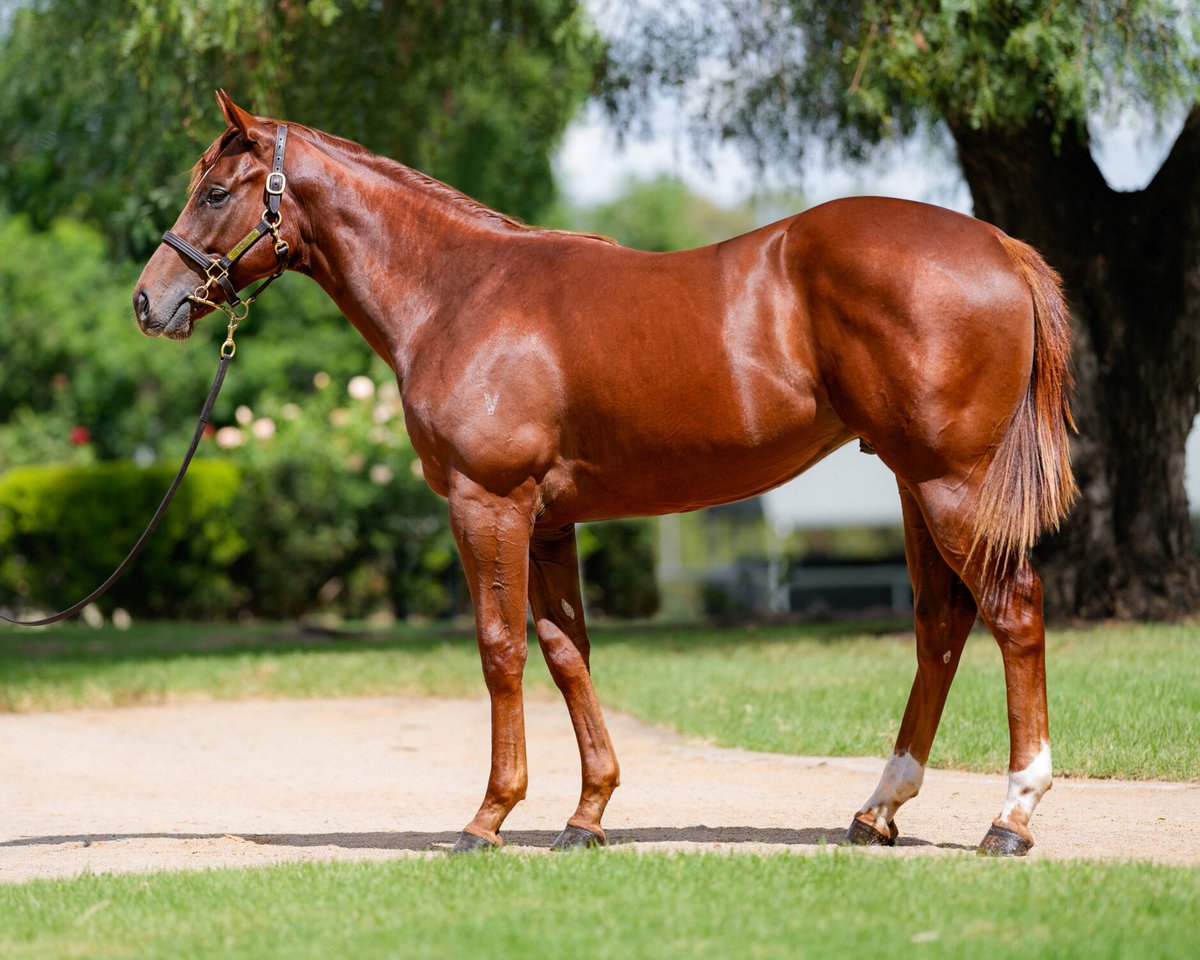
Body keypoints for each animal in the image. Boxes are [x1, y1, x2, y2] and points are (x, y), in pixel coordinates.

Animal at [133, 90, 1080, 854]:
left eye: (215, 191)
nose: (150, 301)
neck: (458, 292)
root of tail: (999, 245)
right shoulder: (549, 519)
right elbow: (566, 651)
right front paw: (586, 816)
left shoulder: (489, 505)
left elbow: (500, 649)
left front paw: (489, 818)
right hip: (915, 484)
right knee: (941, 625)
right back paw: (878, 810)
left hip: (952, 484)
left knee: (1014, 612)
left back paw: (1011, 816)